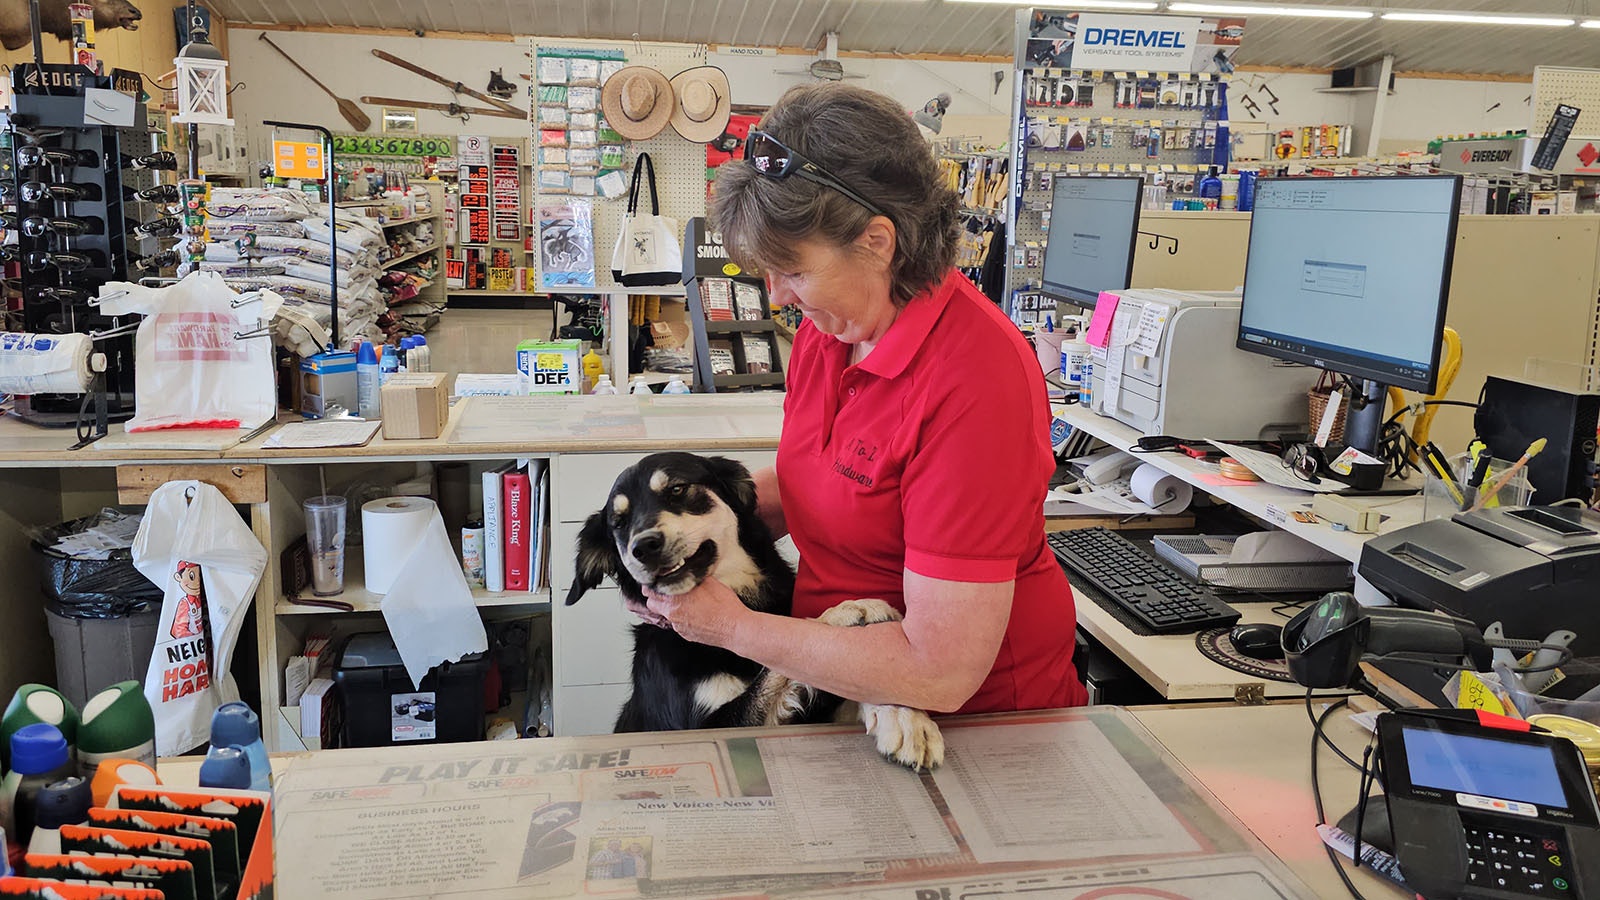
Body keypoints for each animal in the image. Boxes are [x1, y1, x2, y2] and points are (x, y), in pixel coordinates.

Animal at [566, 448, 940, 762]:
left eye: (677, 489)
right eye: (619, 524)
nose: (643, 547)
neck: (743, 598)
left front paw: (903, 714)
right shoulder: (708, 728)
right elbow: (781, 663)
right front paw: (843, 612)